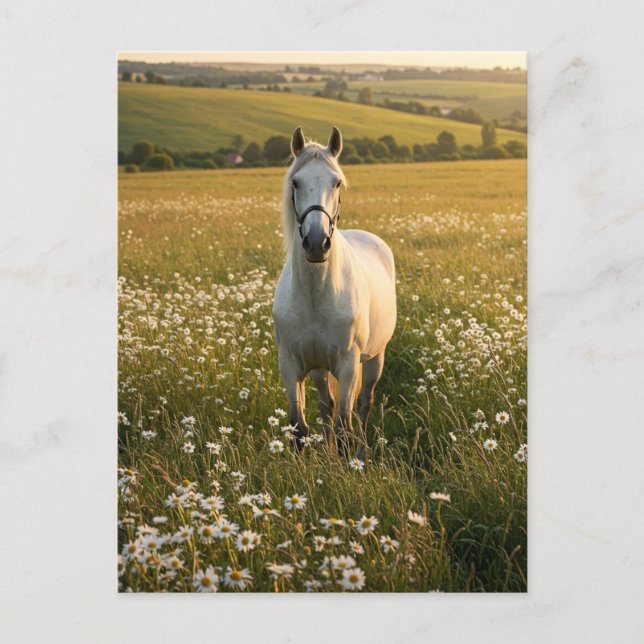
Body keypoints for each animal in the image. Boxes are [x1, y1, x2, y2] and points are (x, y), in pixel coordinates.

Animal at [272, 126, 397, 461]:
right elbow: (300, 428)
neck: (316, 296)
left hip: (374, 358)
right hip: (318, 368)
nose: (317, 243)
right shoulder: (291, 365)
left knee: (363, 405)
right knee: (326, 405)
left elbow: (344, 427)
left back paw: (362, 455)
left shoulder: (348, 363)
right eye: (296, 182)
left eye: (336, 181)